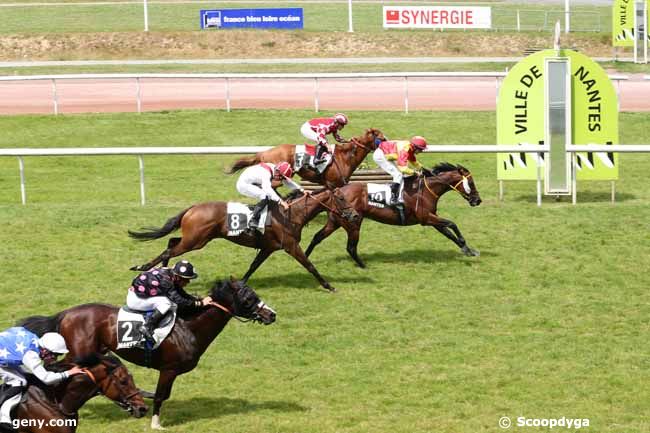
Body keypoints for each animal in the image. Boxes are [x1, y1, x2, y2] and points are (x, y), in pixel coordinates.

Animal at [129, 188, 356, 290]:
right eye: (341, 198)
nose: (354, 215)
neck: (291, 213)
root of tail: (193, 208)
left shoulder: (268, 247)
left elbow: (253, 266)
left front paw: (241, 284)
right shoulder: (291, 246)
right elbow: (310, 265)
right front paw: (328, 285)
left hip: (196, 239)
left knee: (171, 242)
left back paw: (163, 271)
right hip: (195, 241)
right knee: (169, 249)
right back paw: (144, 267)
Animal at [304, 164, 480, 268]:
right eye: (471, 183)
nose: (478, 200)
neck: (426, 189)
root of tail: (336, 192)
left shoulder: (431, 219)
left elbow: (448, 233)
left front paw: (468, 250)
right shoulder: (426, 218)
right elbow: (452, 224)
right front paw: (466, 247)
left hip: (335, 221)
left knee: (317, 237)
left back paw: (305, 257)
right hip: (353, 222)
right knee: (351, 247)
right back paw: (363, 266)